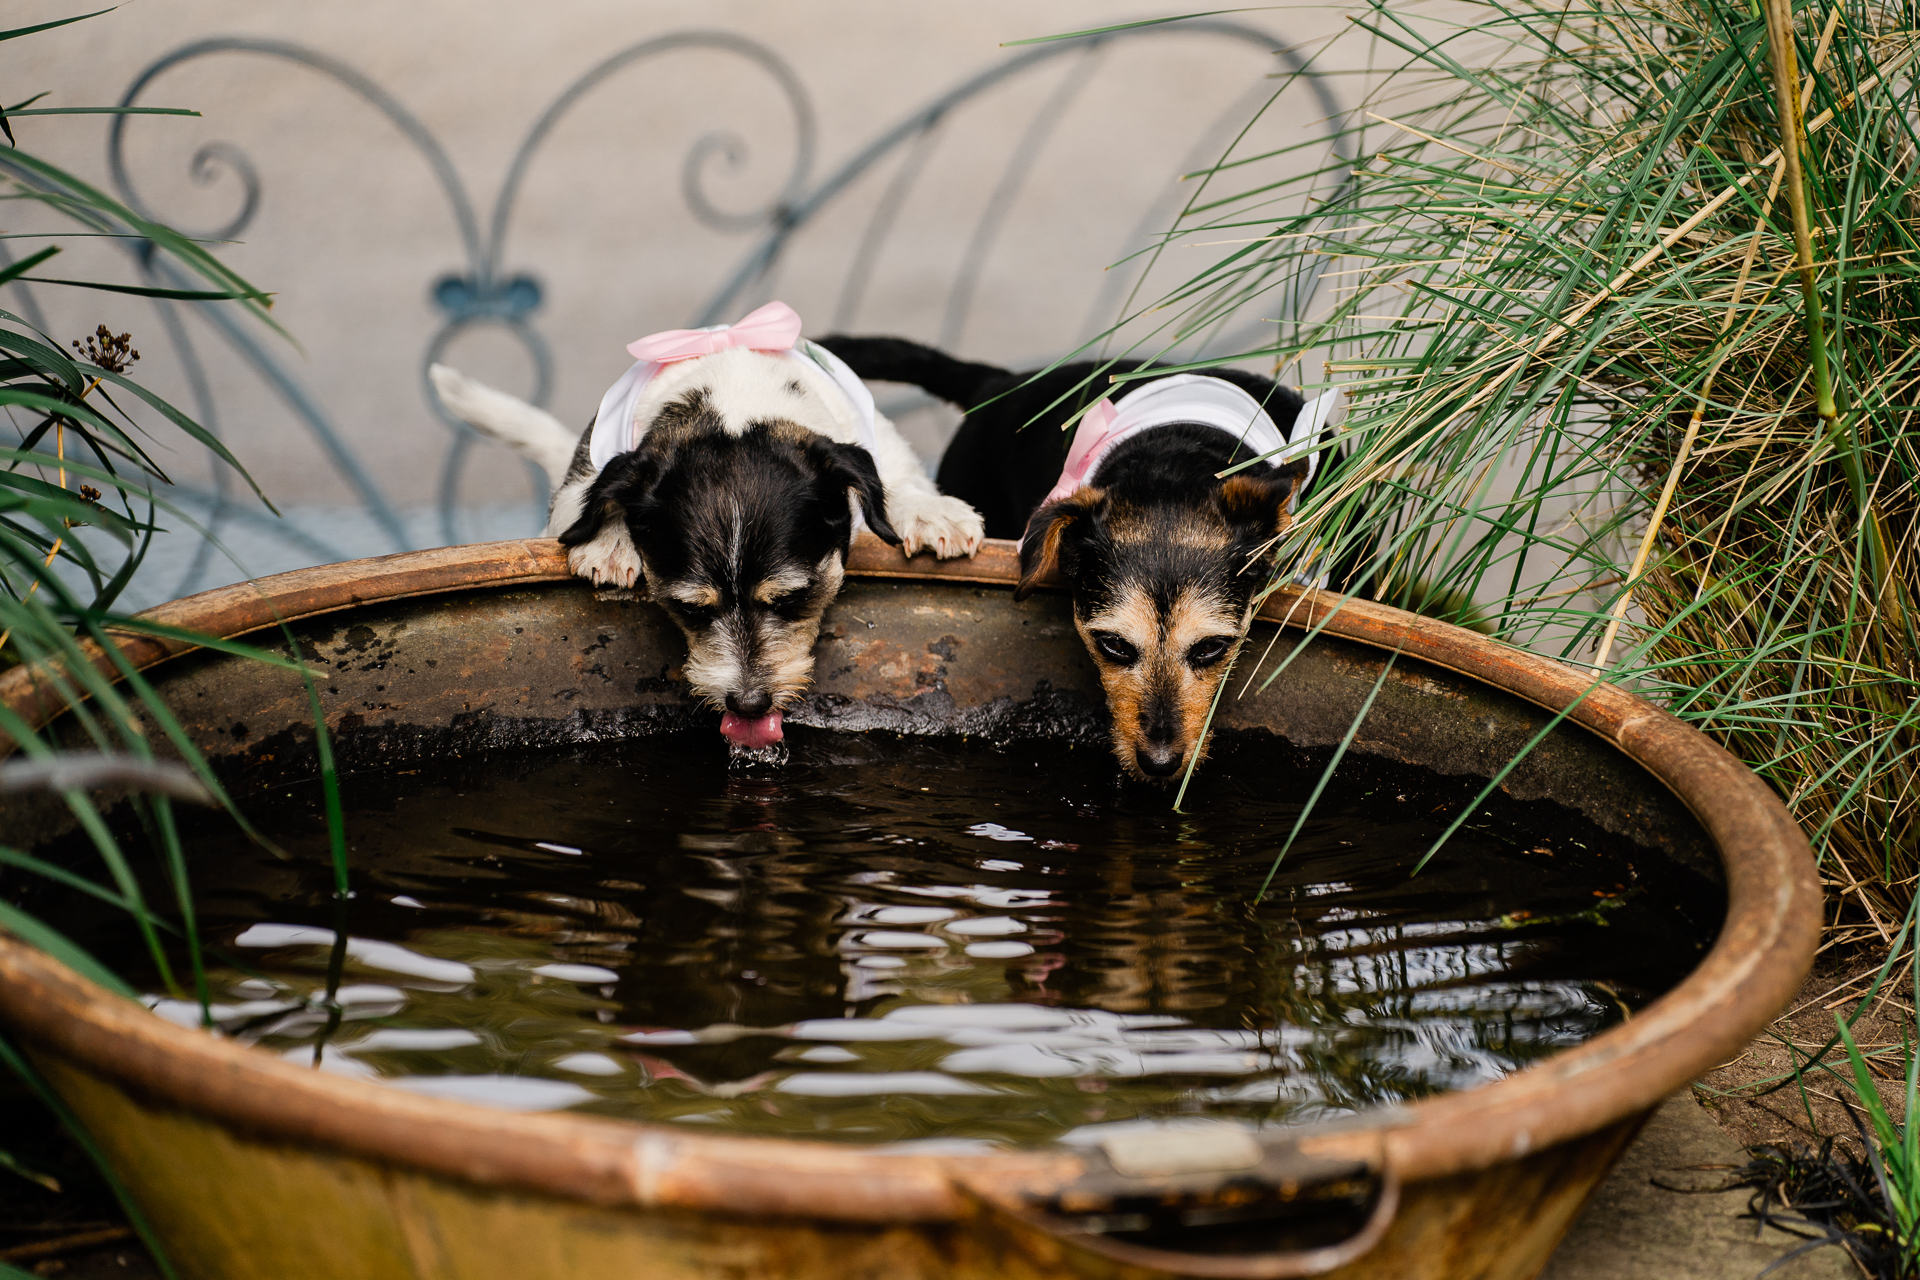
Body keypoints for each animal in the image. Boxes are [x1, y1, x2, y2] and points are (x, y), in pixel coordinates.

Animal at [430, 305, 983, 752]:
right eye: (690, 608)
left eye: (792, 598)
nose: (749, 704)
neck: (735, 401)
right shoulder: (580, 483)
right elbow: (593, 500)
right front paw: (609, 540)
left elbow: (900, 482)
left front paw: (930, 511)